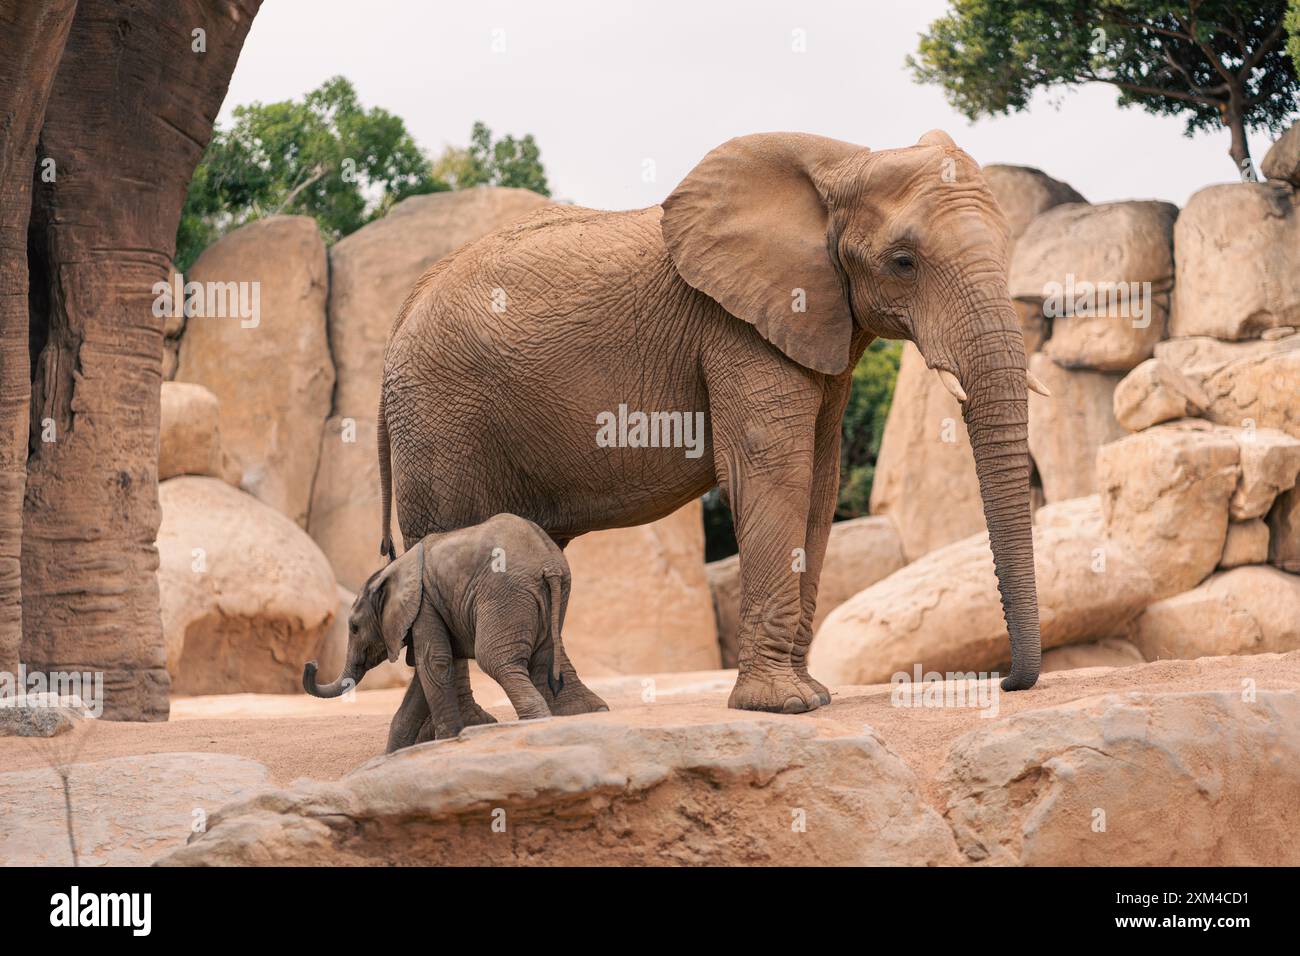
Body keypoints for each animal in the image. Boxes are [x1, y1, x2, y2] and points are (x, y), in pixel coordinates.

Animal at [304, 515, 608, 749]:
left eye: (355, 628)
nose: (312, 664)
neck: (392, 569)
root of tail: (550, 565)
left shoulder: (423, 603)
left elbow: (433, 663)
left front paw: (447, 742)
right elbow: (424, 676)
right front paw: (393, 756)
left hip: (506, 595)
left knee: (496, 661)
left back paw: (533, 726)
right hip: (553, 596)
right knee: (542, 661)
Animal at [377, 128, 1045, 733]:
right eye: (903, 262)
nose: (1008, 682)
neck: (848, 160)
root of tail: (398, 321)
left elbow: (819, 482)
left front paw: (813, 695)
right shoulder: (736, 326)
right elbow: (776, 471)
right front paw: (785, 706)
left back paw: (567, 714)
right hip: (441, 416)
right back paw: (470, 729)